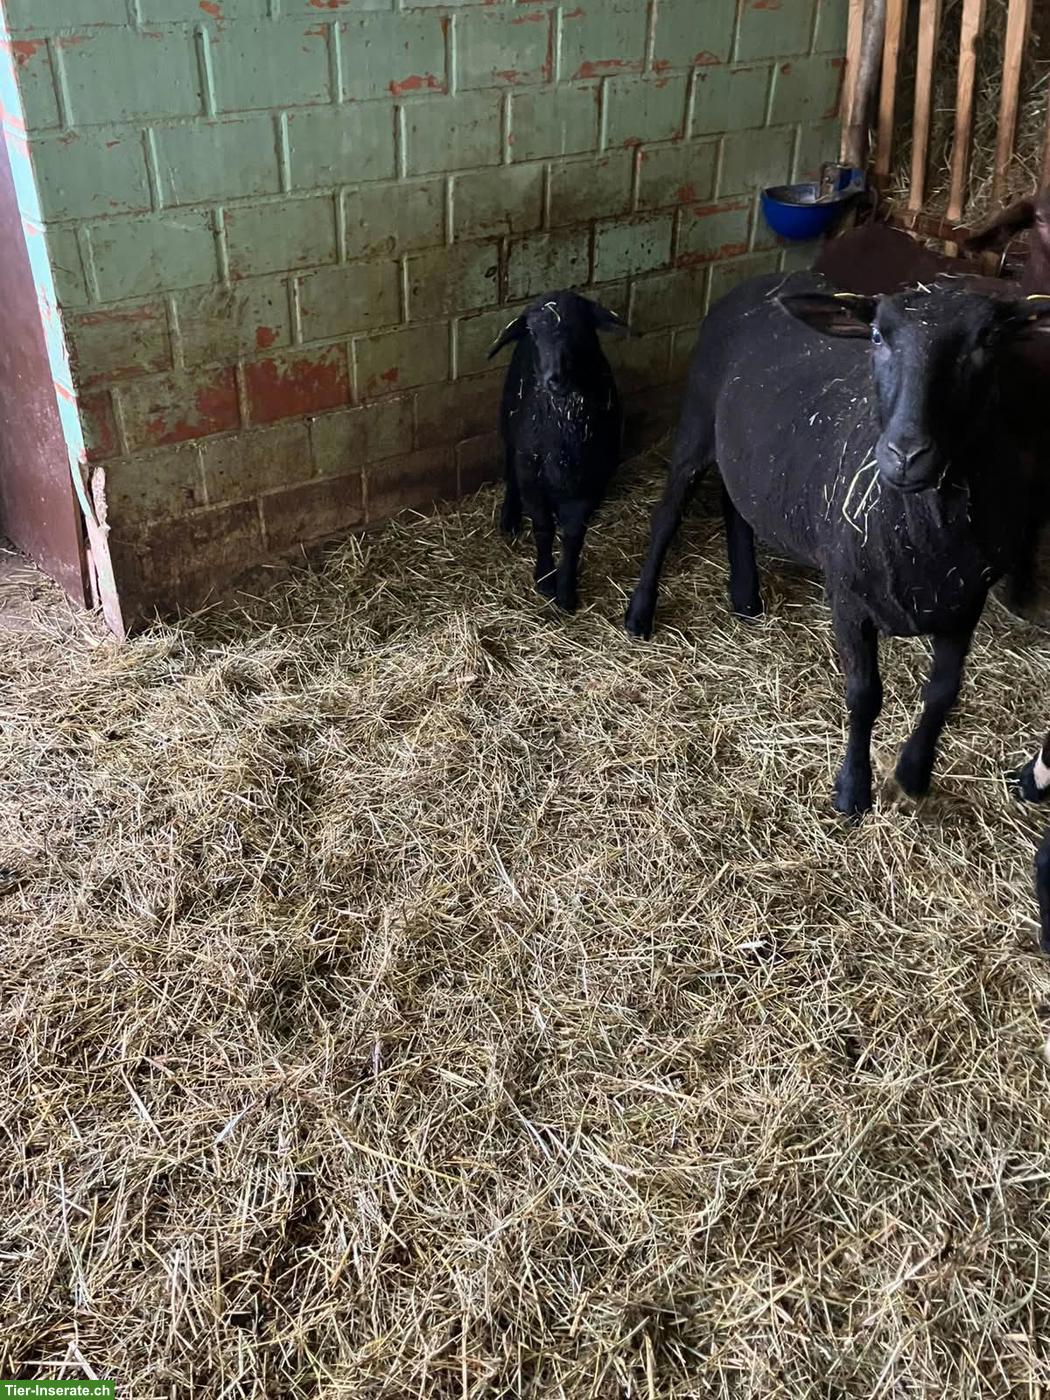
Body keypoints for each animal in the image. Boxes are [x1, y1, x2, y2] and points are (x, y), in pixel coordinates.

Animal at [489, 290, 628, 613]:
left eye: (582, 329)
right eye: (534, 333)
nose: (556, 377)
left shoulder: (590, 481)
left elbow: (574, 536)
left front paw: (566, 591)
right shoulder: (531, 475)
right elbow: (543, 528)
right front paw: (544, 579)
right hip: (510, 429)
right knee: (510, 472)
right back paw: (509, 519)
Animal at [625, 271, 1050, 816]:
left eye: (988, 340)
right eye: (876, 336)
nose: (905, 456)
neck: (926, 527)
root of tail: (763, 280)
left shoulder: (965, 600)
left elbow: (943, 692)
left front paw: (914, 773)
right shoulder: (848, 597)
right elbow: (864, 695)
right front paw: (852, 791)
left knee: (738, 505)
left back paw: (745, 597)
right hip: (696, 421)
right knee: (666, 516)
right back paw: (640, 613)